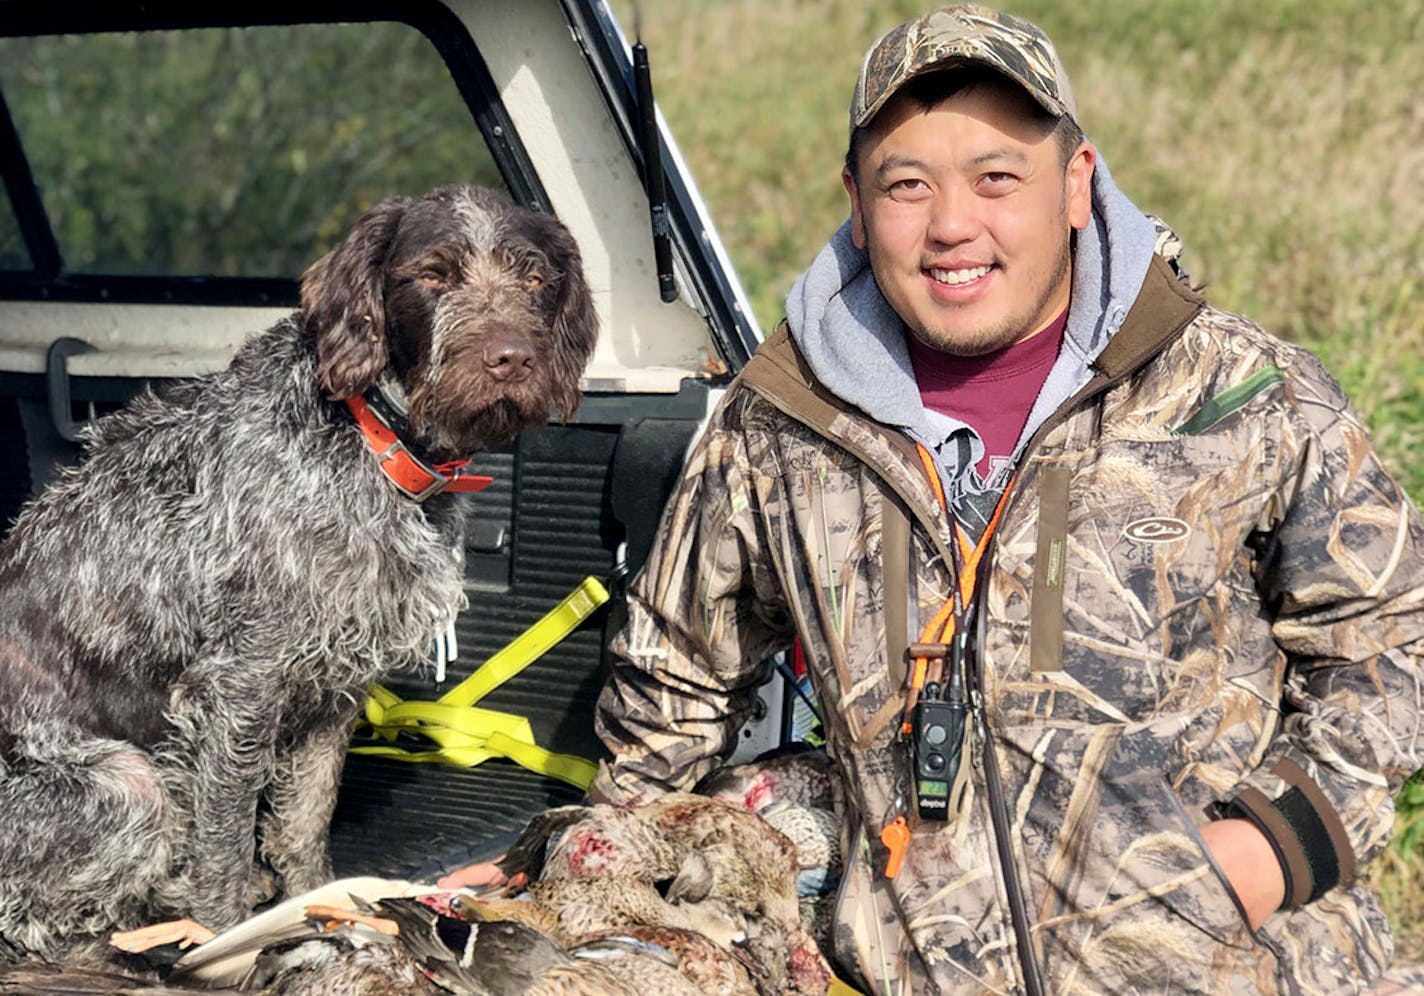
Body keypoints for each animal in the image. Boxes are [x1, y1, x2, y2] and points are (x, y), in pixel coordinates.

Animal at [0, 183, 595, 963]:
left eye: (534, 279)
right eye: (433, 276)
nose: (513, 359)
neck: (372, 442)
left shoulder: (336, 687)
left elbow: (307, 816)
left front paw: (317, 898)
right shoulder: (237, 691)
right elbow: (221, 842)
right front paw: (227, 935)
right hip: (129, 784)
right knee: (33, 918)